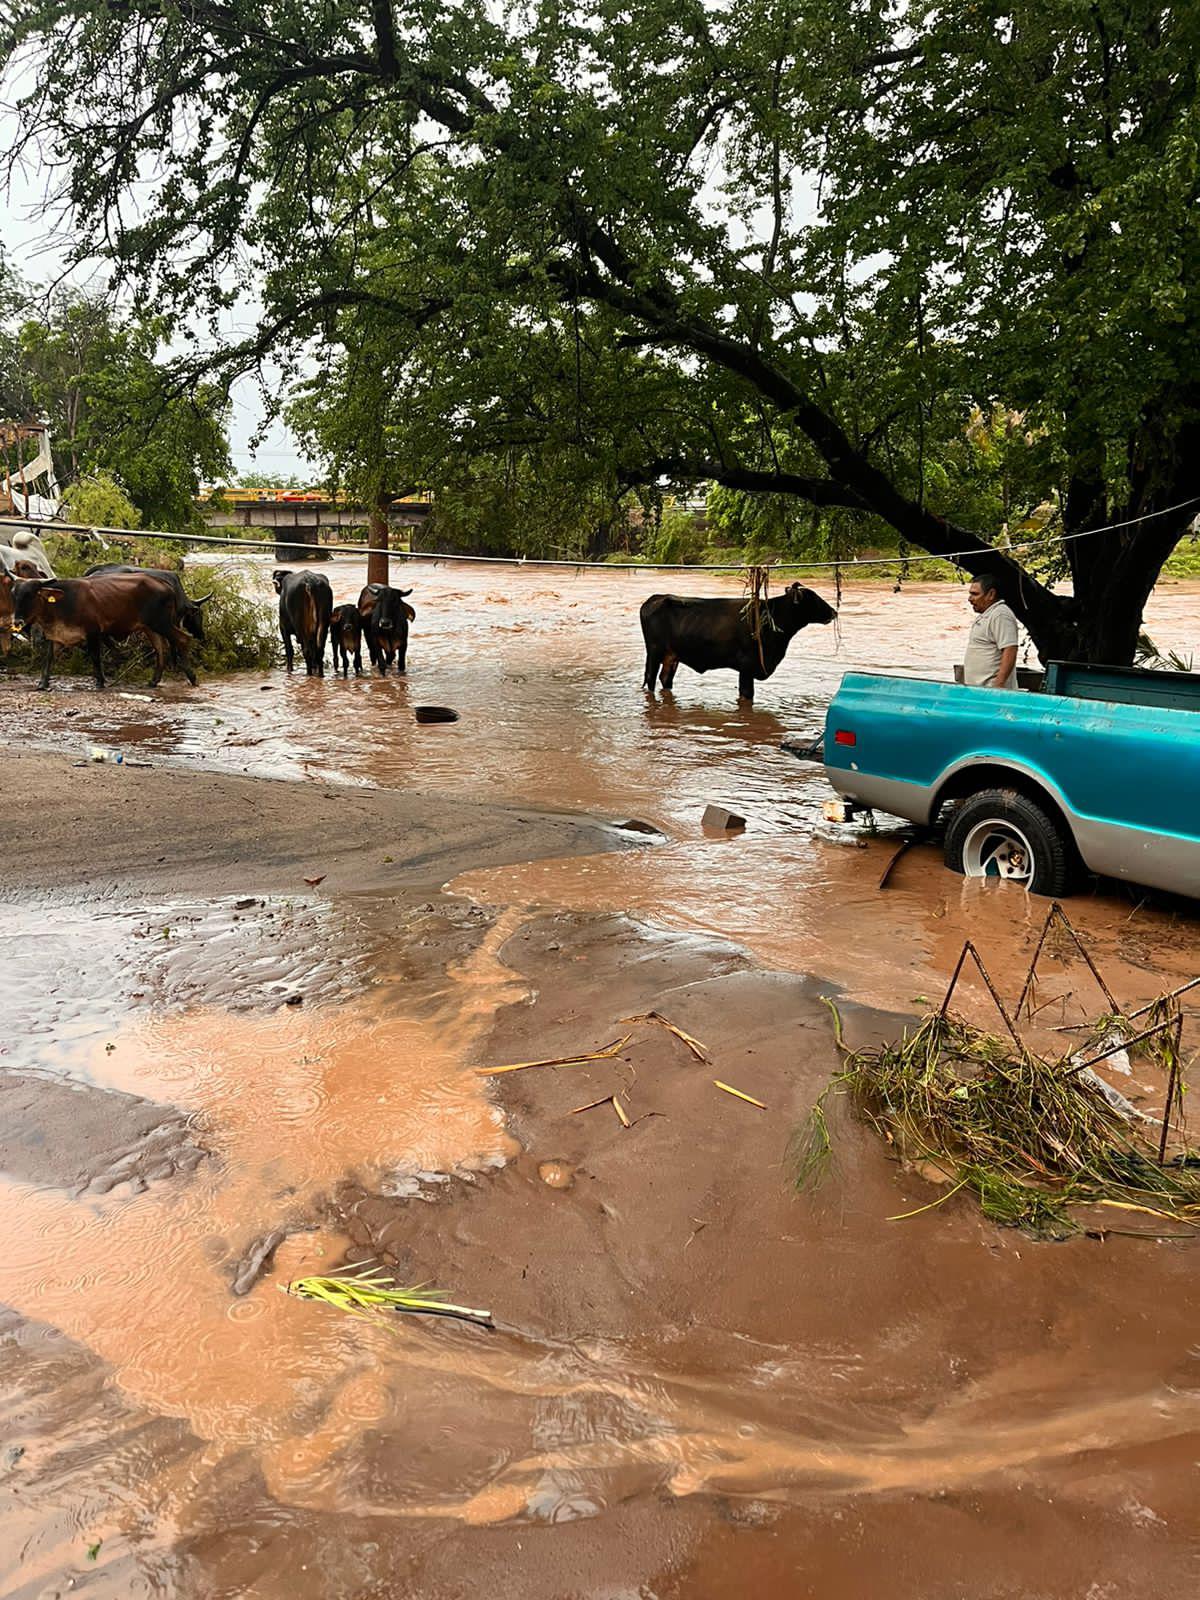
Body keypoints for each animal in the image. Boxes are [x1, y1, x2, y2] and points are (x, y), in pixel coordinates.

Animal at [13, 572, 200, 691]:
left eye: (30, 595)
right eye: (14, 595)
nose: (17, 621)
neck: (62, 602)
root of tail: (165, 585)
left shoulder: (93, 633)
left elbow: (95, 657)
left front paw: (99, 682)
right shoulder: (58, 636)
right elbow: (48, 659)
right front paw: (42, 684)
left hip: (161, 623)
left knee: (183, 639)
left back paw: (192, 677)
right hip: (150, 627)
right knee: (161, 649)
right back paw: (154, 681)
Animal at [640, 579, 838, 697]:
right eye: (814, 598)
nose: (834, 612)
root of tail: (657, 598)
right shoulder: (747, 666)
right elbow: (746, 694)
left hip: (672, 655)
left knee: (665, 678)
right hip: (654, 651)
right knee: (650, 677)